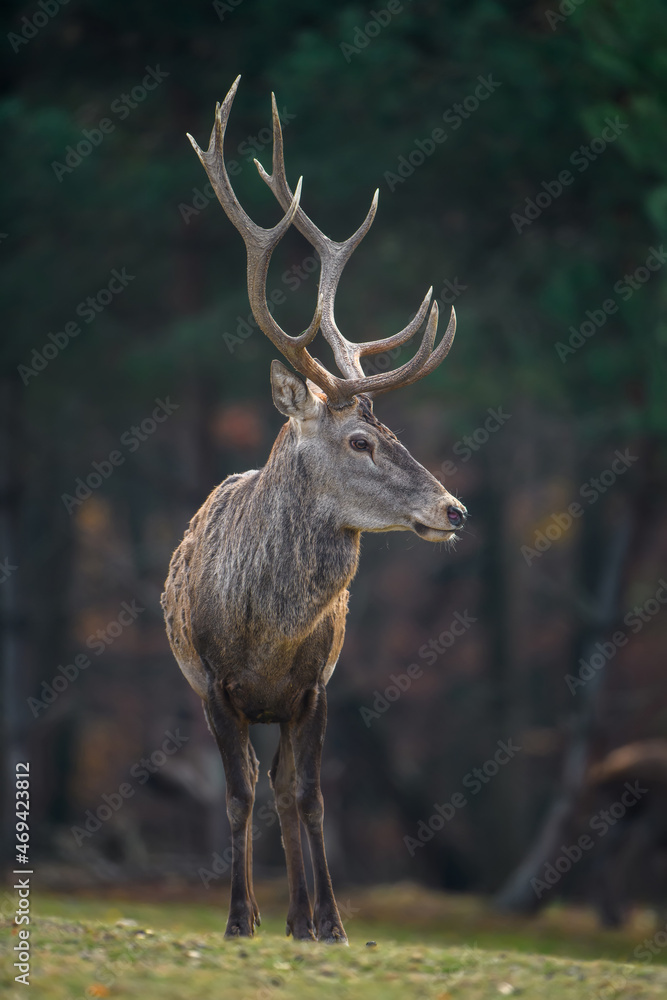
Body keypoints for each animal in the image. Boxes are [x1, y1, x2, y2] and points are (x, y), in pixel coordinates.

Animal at [162, 74, 468, 940]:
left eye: (392, 431)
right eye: (361, 440)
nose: (455, 509)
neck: (267, 632)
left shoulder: (315, 688)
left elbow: (311, 798)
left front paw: (329, 922)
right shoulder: (215, 686)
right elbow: (237, 797)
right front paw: (240, 920)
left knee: (288, 791)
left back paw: (301, 917)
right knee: (256, 789)